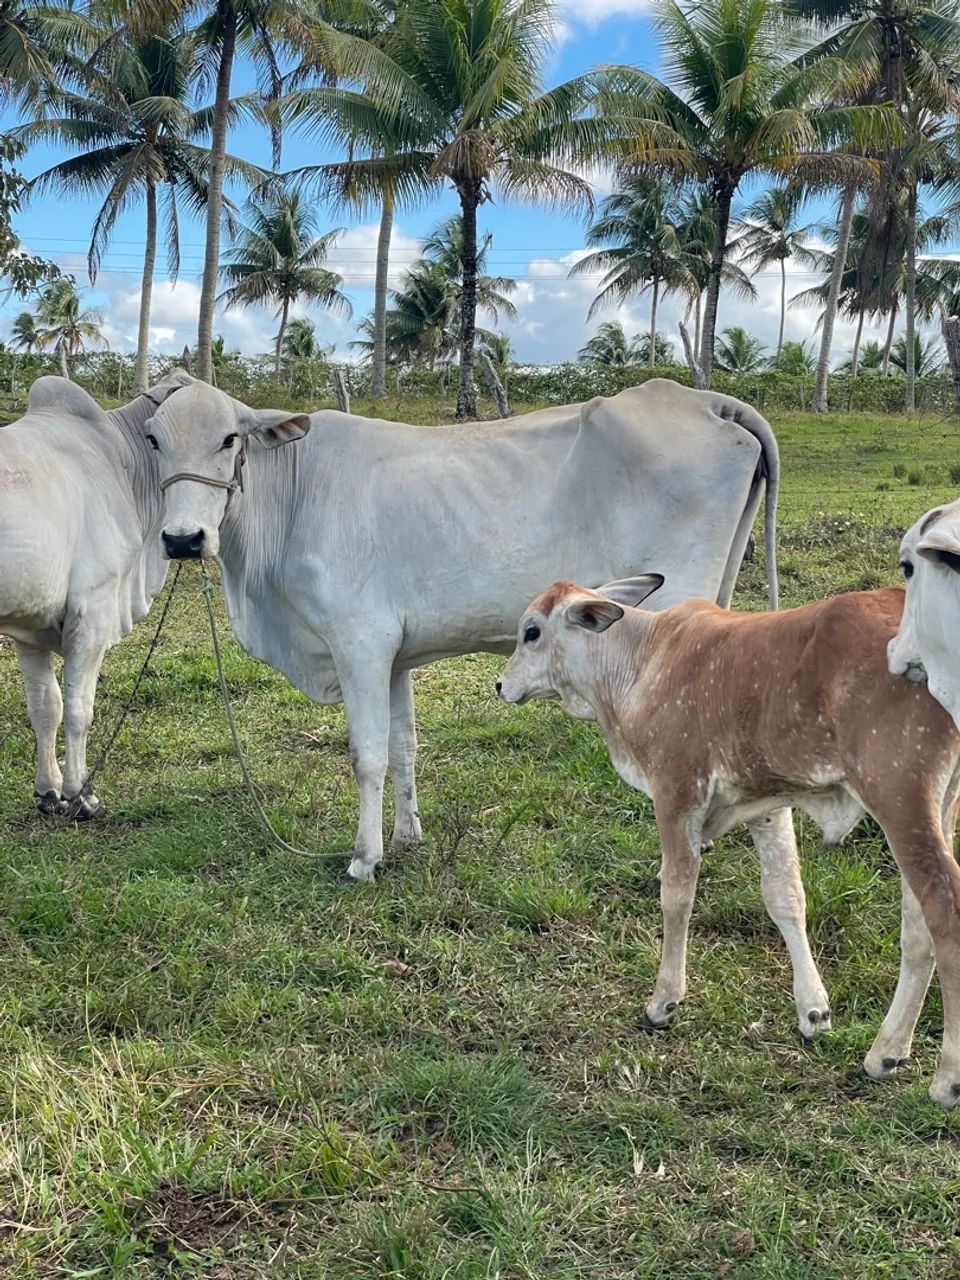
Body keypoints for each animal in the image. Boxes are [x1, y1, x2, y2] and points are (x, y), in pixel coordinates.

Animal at [0, 370, 192, 816]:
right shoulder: (93, 611)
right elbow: (78, 708)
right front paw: (80, 794)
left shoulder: (28, 627)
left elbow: (45, 706)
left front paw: (48, 792)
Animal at [145, 377, 779, 882]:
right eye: (153, 439)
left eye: (230, 439)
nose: (183, 539)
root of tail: (705, 400)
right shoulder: (394, 657)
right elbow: (403, 745)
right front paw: (406, 838)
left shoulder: (359, 644)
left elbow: (367, 755)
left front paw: (364, 860)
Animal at [497, 579, 960, 1108]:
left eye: (532, 632)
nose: (500, 685)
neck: (641, 662)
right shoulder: (766, 806)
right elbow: (786, 898)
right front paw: (813, 1011)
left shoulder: (677, 795)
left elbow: (676, 896)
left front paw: (664, 1001)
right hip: (935, 808)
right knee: (917, 925)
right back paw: (886, 1052)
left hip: (900, 799)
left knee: (943, 909)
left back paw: (946, 1077)